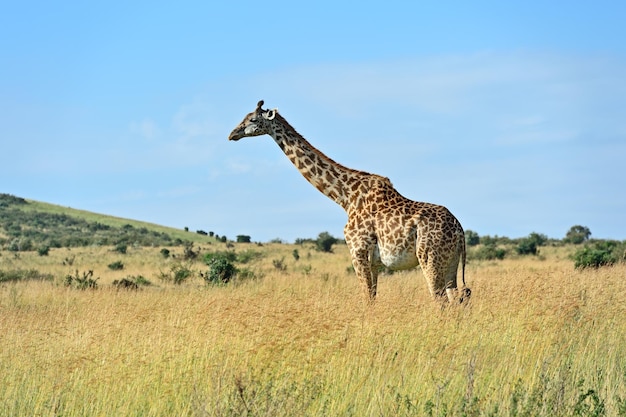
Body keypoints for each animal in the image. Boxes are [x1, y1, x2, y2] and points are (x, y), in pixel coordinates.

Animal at [228, 101, 468, 302]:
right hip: (450, 262)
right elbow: (373, 297)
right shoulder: (374, 261)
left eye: (252, 119)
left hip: (429, 257)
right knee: (459, 296)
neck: (345, 197)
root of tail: (460, 231)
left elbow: (367, 298)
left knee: (440, 300)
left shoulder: (357, 251)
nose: (232, 134)